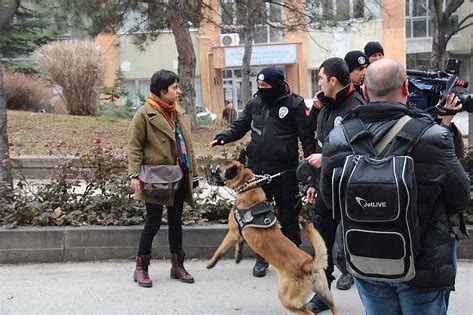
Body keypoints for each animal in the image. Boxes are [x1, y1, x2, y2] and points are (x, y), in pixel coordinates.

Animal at [206, 154, 336, 314]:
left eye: (219, 168)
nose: (208, 167)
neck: (248, 186)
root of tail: (309, 264)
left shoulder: (233, 232)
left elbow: (220, 248)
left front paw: (211, 263)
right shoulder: (239, 235)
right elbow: (238, 245)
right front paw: (237, 256)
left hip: (286, 298)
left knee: (308, 312)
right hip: (325, 294)